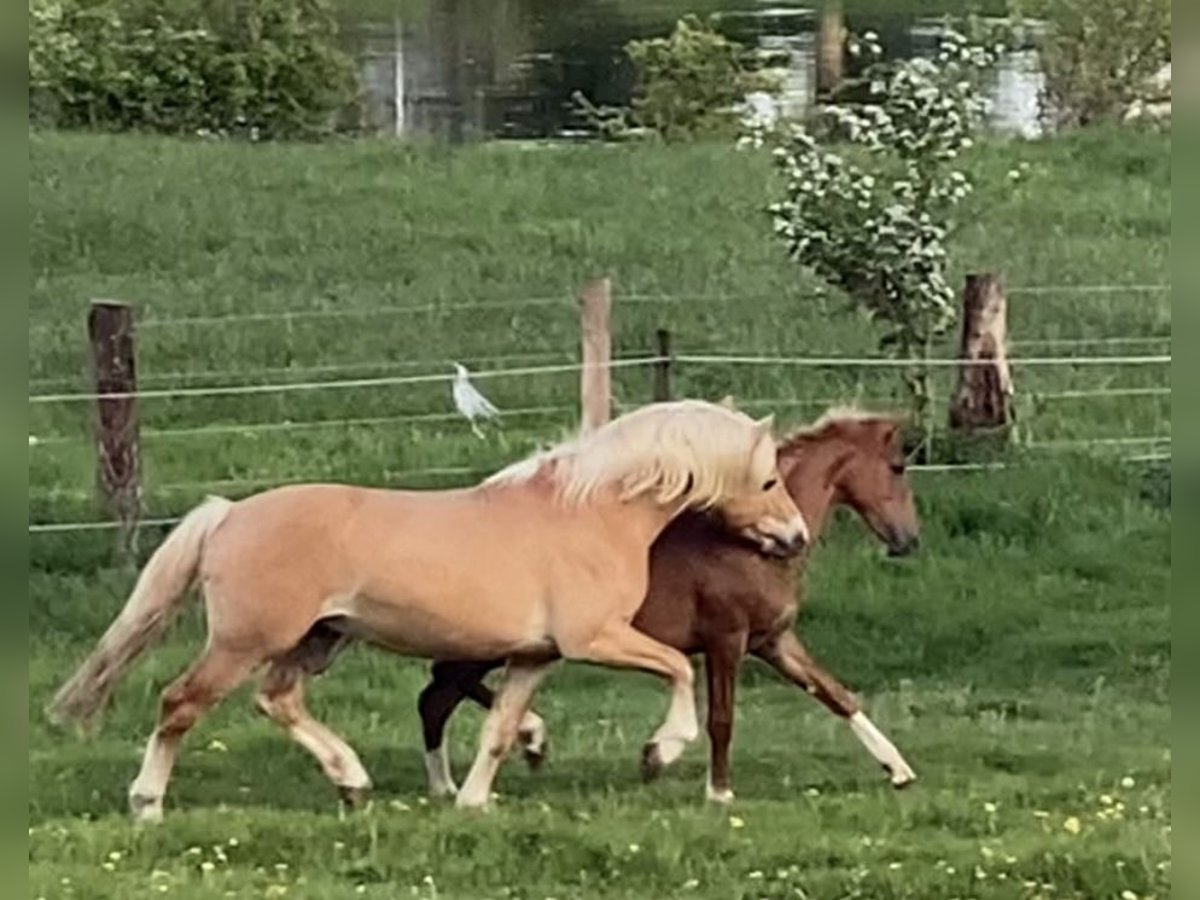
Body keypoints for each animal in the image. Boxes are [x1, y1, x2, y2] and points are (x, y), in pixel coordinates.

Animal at [46, 398, 806, 820]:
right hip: (246, 641)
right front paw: (658, 753)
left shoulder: (536, 656)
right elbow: (679, 667)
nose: (796, 537)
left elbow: (501, 728)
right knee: (180, 704)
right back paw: (147, 804)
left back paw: (353, 783)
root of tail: (228, 514)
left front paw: (472, 801)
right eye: (769, 480)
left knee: (279, 700)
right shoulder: (594, 638)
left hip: (318, 640)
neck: (592, 512)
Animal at [417, 410, 921, 801]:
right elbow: (721, 718)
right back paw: (500, 756)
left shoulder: (774, 641)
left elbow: (835, 694)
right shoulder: (726, 640)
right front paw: (714, 790)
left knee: (440, 693)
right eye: (897, 467)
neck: (748, 548)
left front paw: (898, 770)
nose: (909, 540)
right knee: (438, 693)